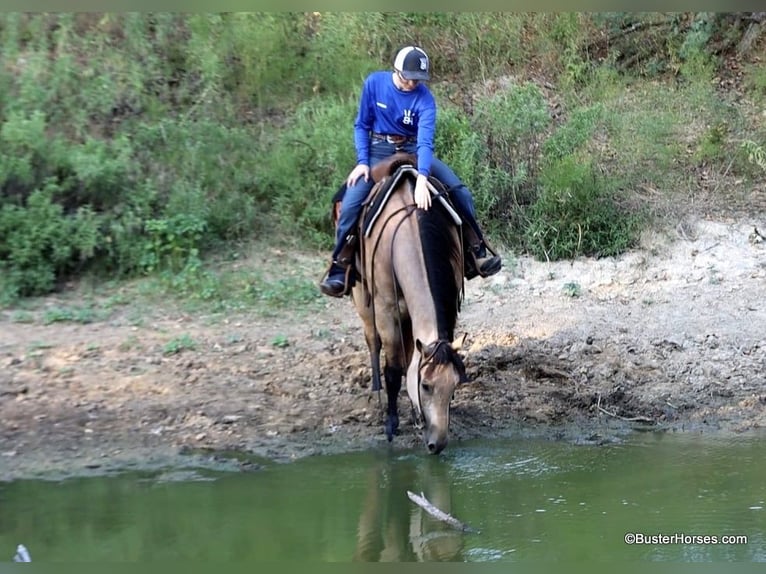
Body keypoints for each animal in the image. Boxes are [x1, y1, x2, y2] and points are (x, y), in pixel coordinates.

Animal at [335, 153, 468, 454]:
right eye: (426, 385)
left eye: (454, 386)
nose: (437, 444)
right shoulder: (386, 310)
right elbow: (394, 368)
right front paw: (391, 424)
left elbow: (408, 362)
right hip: (361, 295)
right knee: (372, 340)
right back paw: (376, 389)